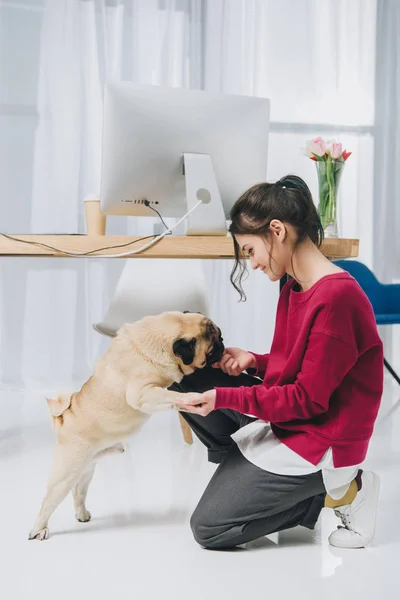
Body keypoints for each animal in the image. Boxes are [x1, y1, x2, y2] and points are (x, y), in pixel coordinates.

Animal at [28, 312, 225, 540]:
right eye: (211, 348)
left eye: (219, 337)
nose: (223, 343)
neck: (156, 340)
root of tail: (63, 419)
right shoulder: (143, 393)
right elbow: (169, 395)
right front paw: (190, 398)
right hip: (65, 474)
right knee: (48, 502)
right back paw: (38, 530)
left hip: (86, 470)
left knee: (78, 492)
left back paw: (82, 515)